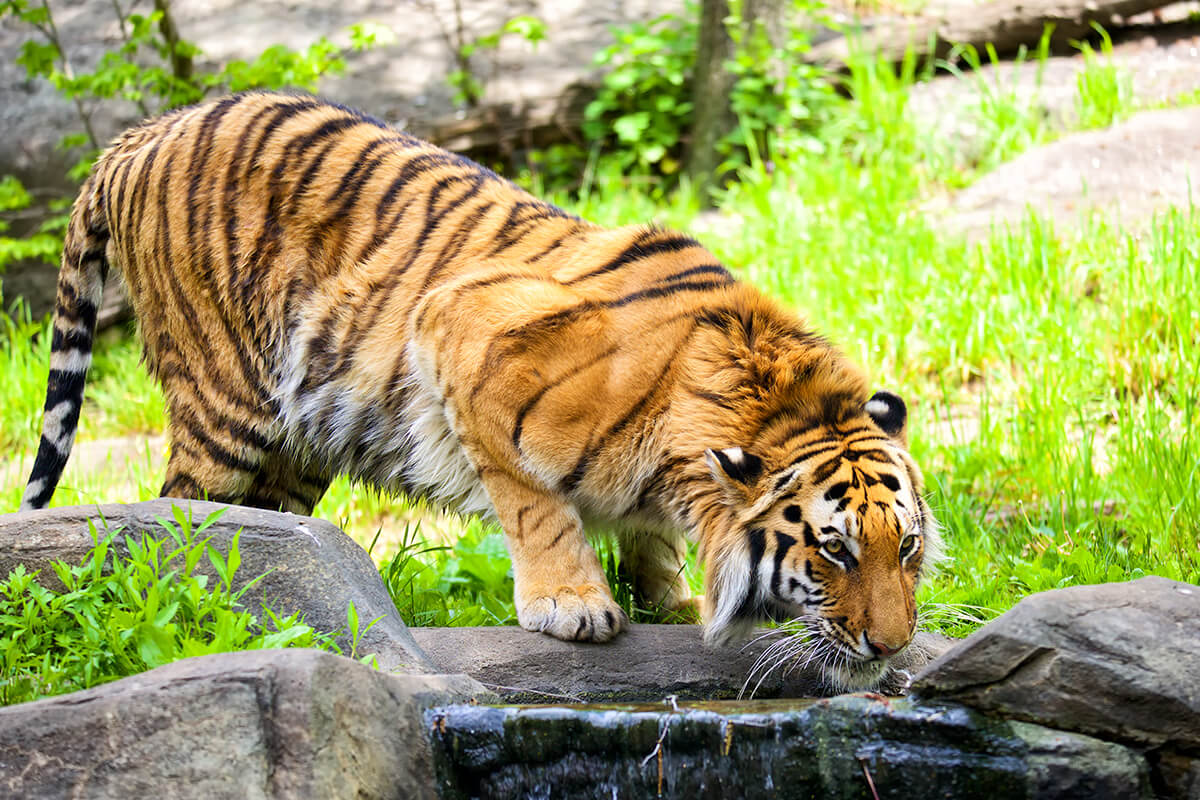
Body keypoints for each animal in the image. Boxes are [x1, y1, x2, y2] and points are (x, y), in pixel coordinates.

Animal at [21, 90, 936, 690]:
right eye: (833, 551)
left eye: (907, 548)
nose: (891, 649)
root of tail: (143, 133)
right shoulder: (460, 332)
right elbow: (535, 505)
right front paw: (573, 605)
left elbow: (652, 538)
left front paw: (668, 599)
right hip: (226, 406)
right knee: (173, 519)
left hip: (299, 440)